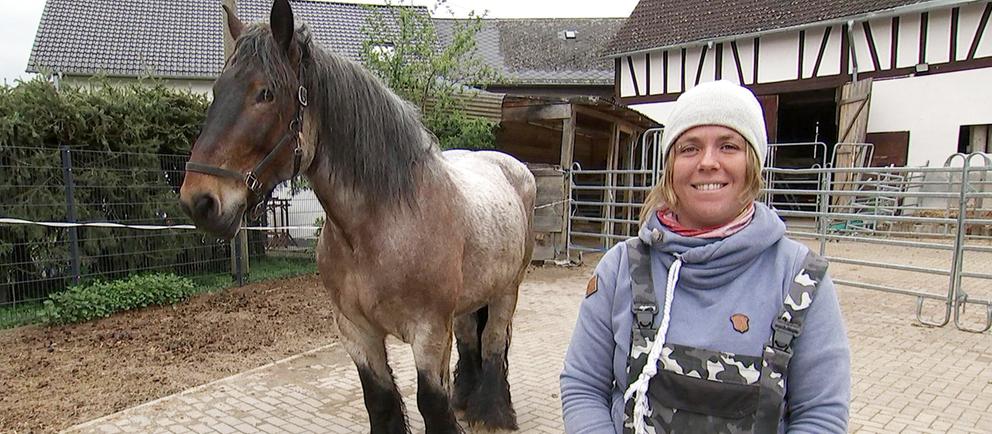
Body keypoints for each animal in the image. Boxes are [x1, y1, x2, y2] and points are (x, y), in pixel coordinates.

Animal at [178, 1, 536, 432]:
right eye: (216, 91)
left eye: (266, 93)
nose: (199, 201)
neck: (379, 227)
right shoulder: (355, 331)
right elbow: (379, 400)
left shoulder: (430, 332)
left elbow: (432, 404)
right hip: (471, 298)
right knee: (472, 341)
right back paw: (467, 402)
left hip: (506, 291)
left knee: (494, 344)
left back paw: (494, 414)